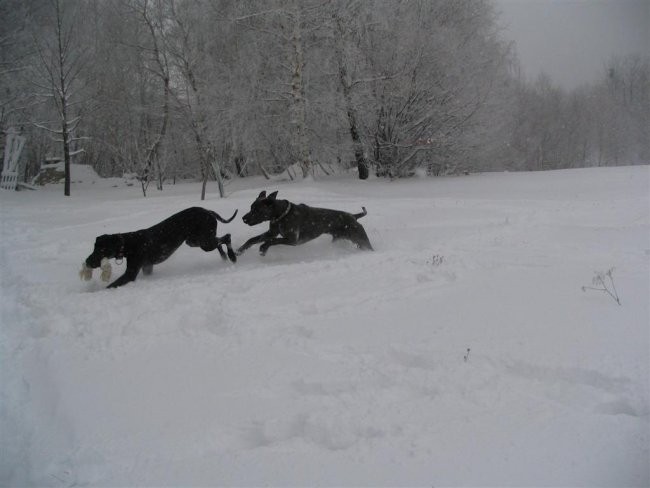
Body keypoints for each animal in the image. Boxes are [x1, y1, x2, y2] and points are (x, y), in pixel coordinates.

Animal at [85, 207, 237, 290]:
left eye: (101, 250)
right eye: (94, 247)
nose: (87, 261)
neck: (128, 243)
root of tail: (208, 211)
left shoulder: (130, 274)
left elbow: (111, 285)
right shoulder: (147, 267)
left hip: (203, 242)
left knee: (227, 237)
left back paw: (232, 256)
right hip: (196, 241)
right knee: (220, 241)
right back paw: (224, 257)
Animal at [237, 190, 370, 255]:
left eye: (256, 210)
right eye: (251, 207)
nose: (243, 218)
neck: (281, 215)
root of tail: (354, 216)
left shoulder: (292, 240)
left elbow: (272, 241)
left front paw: (263, 248)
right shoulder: (272, 232)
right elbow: (253, 239)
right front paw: (240, 250)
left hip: (361, 239)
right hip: (340, 239)